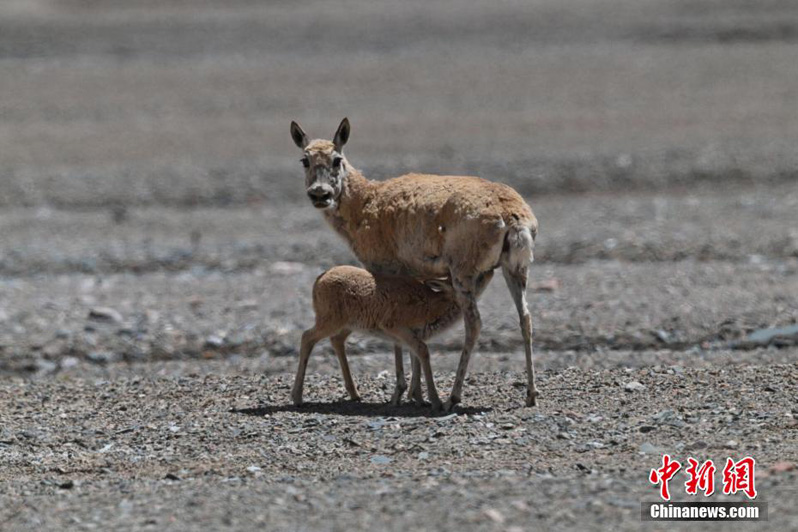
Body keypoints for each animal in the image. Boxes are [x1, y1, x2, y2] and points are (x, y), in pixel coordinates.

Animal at [294, 266, 494, 412]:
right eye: (473, 280)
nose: (489, 271)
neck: (433, 303)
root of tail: (319, 279)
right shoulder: (396, 328)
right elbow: (423, 351)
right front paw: (435, 401)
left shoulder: (411, 335)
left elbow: (416, 357)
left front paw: (418, 398)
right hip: (330, 321)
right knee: (307, 337)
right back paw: (297, 397)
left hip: (347, 326)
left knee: (336, 340)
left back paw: (354, 393)